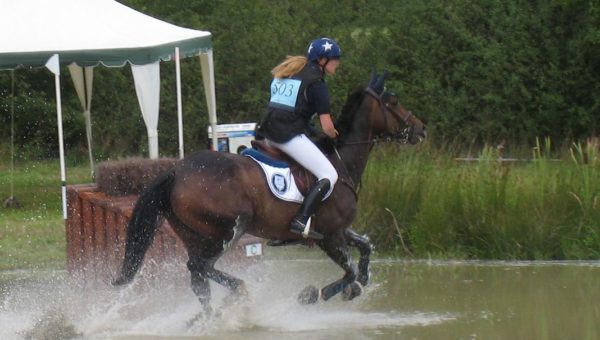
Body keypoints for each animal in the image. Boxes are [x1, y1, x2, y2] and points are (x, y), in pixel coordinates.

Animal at [112, 73, 428, 314]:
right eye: (393, 101)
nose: (421, 129)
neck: (341, 160)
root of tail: (176, 171)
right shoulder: (330, 236)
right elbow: (349, 268)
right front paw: (317, 294)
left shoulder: (337, 230)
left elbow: (365, 247)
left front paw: (359, 283)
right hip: (227, 229)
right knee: (199, 266)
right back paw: (238, 293)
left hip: (194, 234)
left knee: (197, 277)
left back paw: (210, 317)